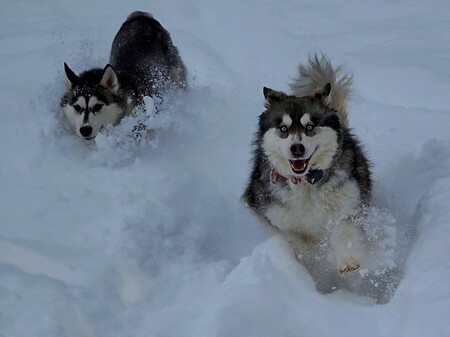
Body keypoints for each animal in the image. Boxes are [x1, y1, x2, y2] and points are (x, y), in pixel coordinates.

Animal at [244, 54, 370, 276]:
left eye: (310, 127)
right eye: (283, 128)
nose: (297, 148)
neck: (304, 183)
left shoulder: (347, 201)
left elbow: (345, 230)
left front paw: (348, 260)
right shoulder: (275, 215)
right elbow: (299, 243)